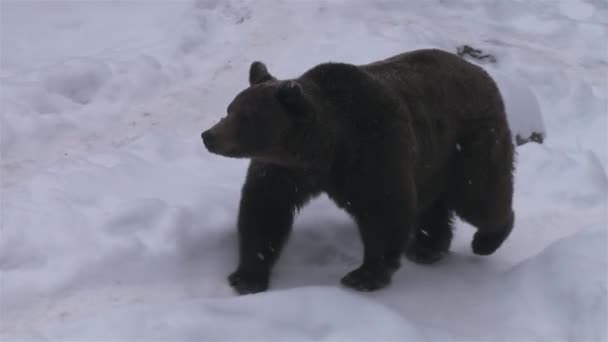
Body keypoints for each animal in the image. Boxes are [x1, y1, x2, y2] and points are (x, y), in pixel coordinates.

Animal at [202, 48, 516, 294]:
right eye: (230, 108)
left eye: (245, 117)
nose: (209, 136)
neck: (326, 150)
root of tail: (482, 73)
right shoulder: (285, 171)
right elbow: (263, 211)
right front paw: (246, 276)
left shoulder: (374, 152)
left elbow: (384, 211)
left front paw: (363, 276)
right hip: (431, 160)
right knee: (433, 204)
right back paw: (427, 248)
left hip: (467, 144)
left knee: (479, 196)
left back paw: (487, 239)